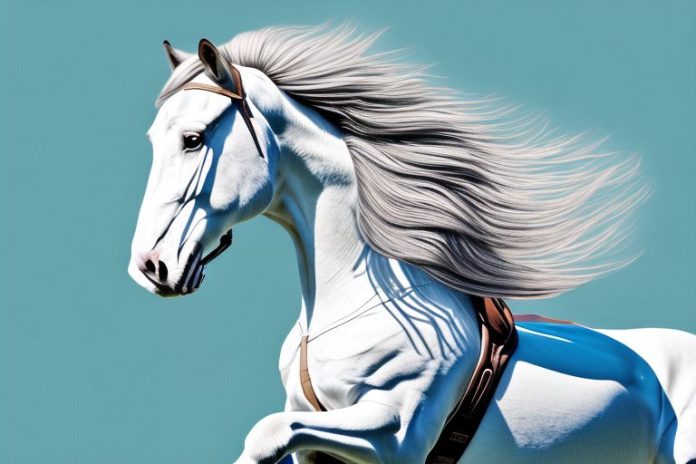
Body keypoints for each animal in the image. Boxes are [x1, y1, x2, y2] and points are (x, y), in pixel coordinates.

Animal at [127, 26, 696, 463]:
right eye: (155, 139)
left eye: (194, 139)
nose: (151, 267)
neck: (351, 305)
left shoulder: (395, 433)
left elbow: (266, 432)